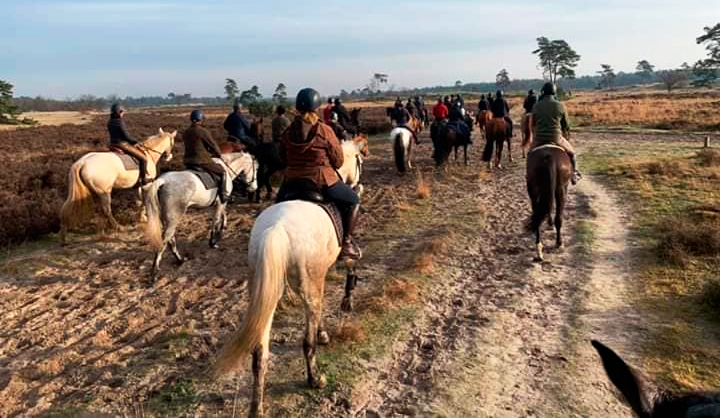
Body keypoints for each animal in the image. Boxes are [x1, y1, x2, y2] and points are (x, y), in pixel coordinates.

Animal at [142, 152, 258, 280]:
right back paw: (154, 273)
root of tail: (163, 180)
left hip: (166, 218)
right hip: (174, 217)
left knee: (170, 239)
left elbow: (222, 214)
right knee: (164, 240)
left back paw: (180, 259)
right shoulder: (221, 202)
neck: (227, 168)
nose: (254, 188)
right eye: (256, 169)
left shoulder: (221, 202)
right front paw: (214, 241)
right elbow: (216, 219)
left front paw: (223, 227)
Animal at [211, 143, 362, 418]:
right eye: (358, 162)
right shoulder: (324, 273)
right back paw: (315, 380)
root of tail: (276, 228)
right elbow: (349, 266)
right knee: (307, 342)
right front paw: (346, 302)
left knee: (259, 354)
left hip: (266, 295)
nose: (357, 184)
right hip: (305, 285)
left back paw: (257, 407)